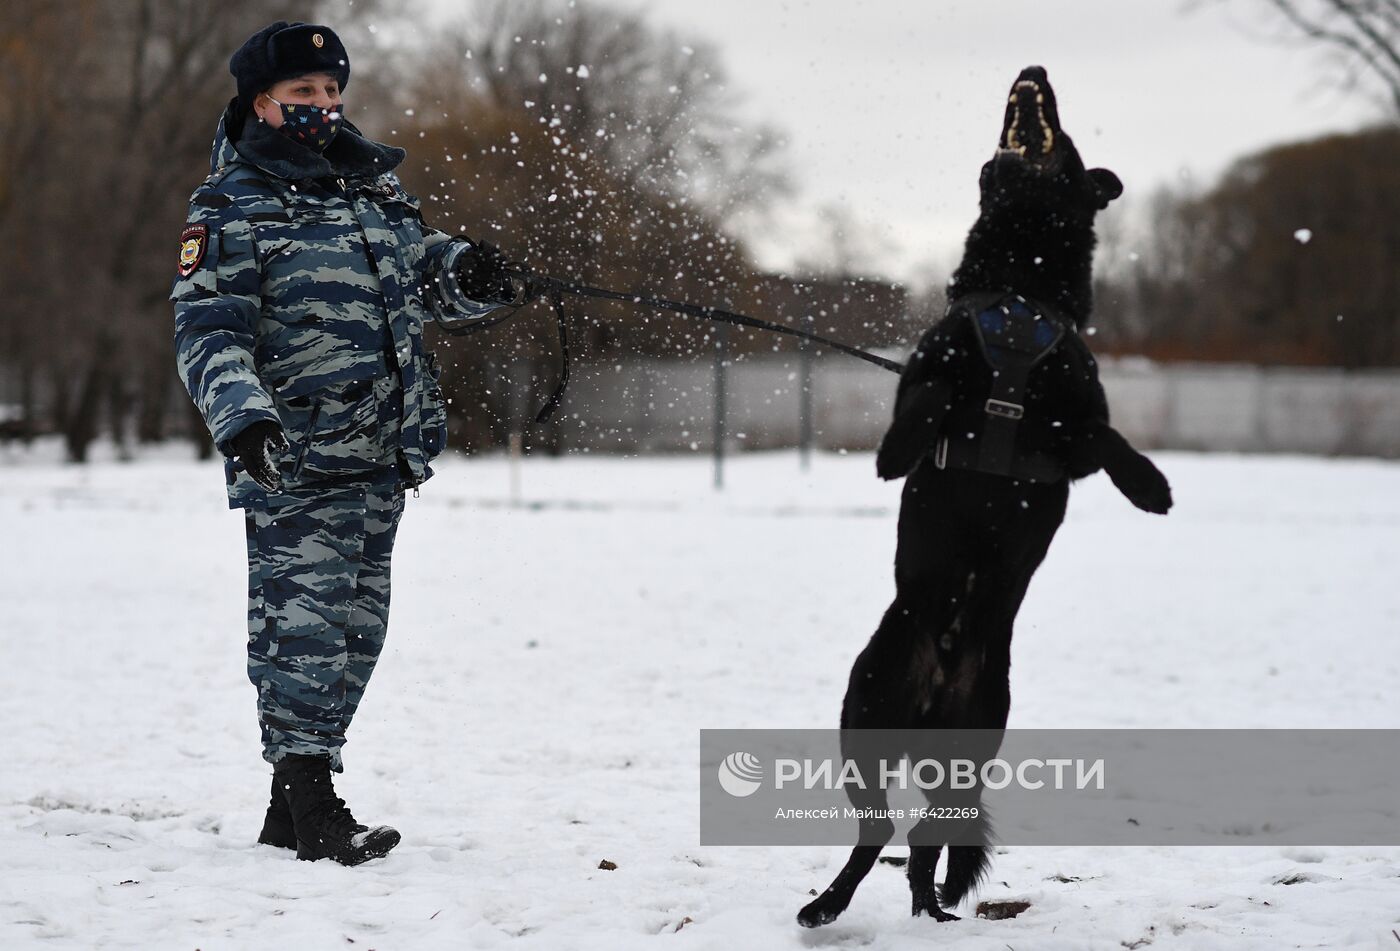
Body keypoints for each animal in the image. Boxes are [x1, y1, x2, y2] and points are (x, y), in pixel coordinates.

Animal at [800, 65, 1170, 929]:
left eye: (1067, 134)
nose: (1034, 71)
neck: (1018, 291)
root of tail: (937, 682)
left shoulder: (1072, 434)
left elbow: (1107, 435)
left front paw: (1151, 487)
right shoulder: (929, 373)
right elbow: (928, 401)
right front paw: (895, 452)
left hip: (973, 741)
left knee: (924, 838)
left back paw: (925, 908)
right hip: (863, 715)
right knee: (877, 833)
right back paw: (828, 905)